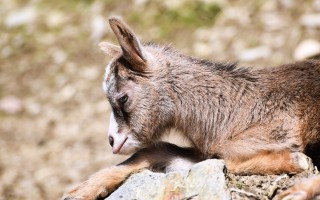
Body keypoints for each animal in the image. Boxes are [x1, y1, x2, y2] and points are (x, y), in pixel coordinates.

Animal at [63, 17, 320, 200]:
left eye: (123, 97)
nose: (113, 141)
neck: (227, 110)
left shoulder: (281, 132)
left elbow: (225, 159)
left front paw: (295, 161)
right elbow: (158, 151)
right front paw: (82, 190)